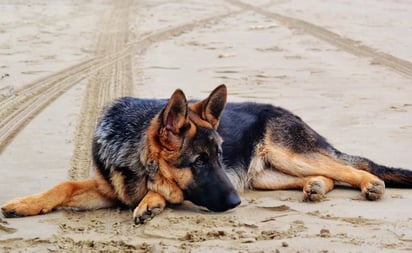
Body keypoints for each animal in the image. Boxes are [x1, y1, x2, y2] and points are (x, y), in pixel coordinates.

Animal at [0, 85, 412, 223]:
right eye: (200, 161)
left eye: (218, 157)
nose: (234, 204)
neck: (135, 155)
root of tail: (286, 112)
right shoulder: (105, 189)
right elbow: (64, 186)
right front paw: (25, 203)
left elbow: (163, 190)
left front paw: (152, 201)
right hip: (266, 177)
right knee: (328, 173)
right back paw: (315, 188)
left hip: (289, 155)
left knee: (349, 166)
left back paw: (370, 184)